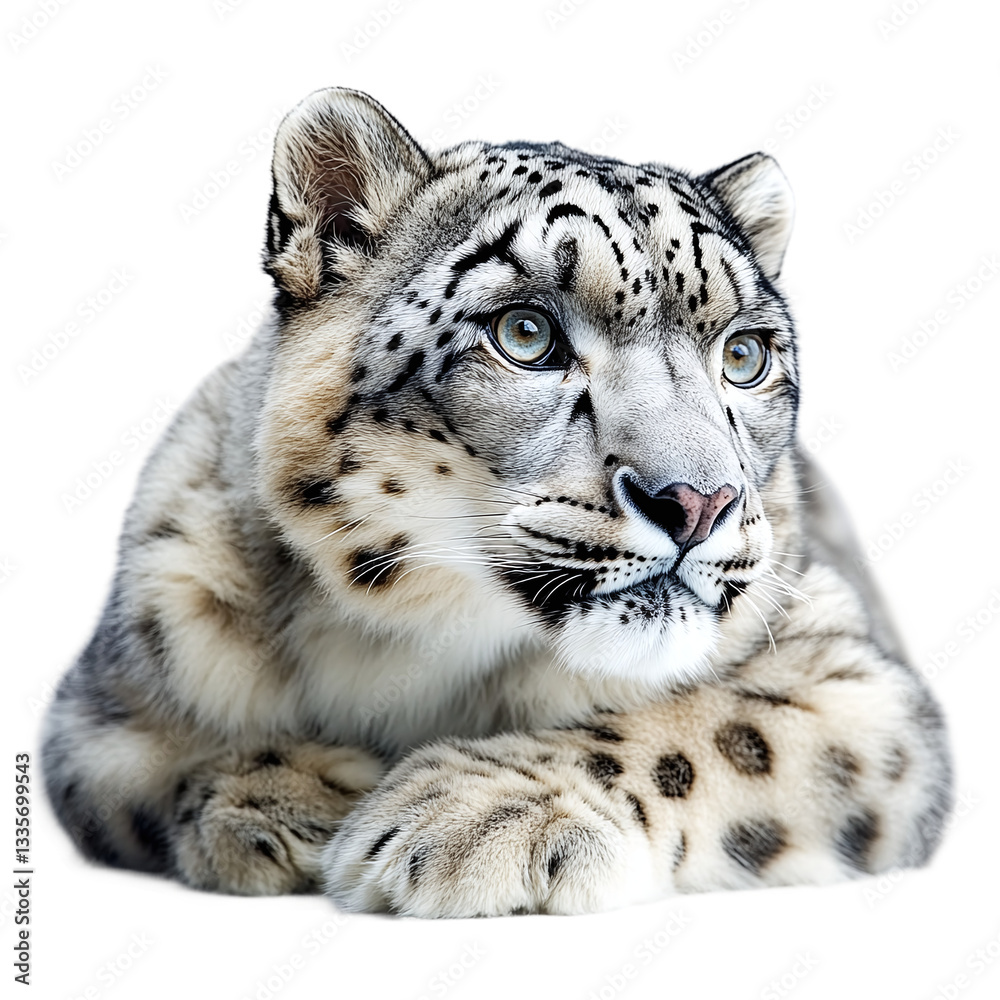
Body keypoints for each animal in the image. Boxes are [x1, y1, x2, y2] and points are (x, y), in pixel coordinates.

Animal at [42, 87, 952, 916]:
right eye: (525, 334)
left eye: (744, 355)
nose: (698, 501)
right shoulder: (104, 715)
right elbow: (153, 775)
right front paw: (283, 799)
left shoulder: (852, 677)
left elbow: (718, 730)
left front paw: (479, 815)